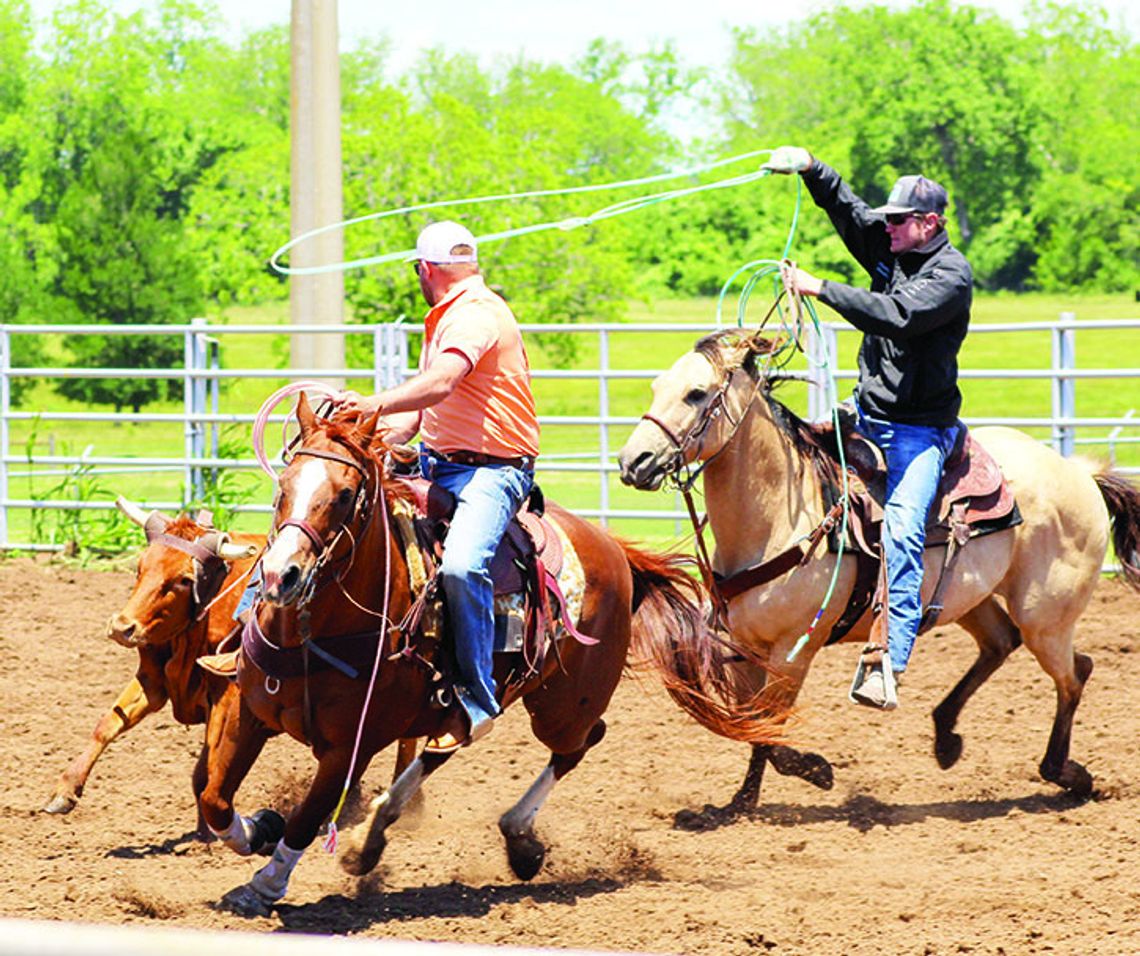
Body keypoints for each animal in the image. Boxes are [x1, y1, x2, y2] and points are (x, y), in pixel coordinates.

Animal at [43, 496, 258, 834]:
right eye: (140, 568)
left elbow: (210, 760)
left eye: (184, 580)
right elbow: (107, 725)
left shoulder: (225, 694)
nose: (121, 627)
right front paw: (64, 790)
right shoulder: (152, 679)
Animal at [204, 391, 702, 916]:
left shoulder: (349, 749)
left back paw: (519, 838)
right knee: (446, 746)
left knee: (579, 743)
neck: (311, 635)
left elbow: (305, 819)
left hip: (562, 706)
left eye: (344, 495)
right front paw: (260, 828)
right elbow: (215, 799)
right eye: (284, 485)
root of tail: (614, 548)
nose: (281, 575)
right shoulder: (247, 710)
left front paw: (264, 886)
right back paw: (372, 837)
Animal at [620, 328, 1140, 815]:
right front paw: (739, 804)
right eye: (657, 387)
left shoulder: (792, 651)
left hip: (1045, 616)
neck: (781, 516)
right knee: (1003, 643)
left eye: (697, 393)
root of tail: (1078, 472)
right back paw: (946, 737)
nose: (632, 462)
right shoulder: (745, 648)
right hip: (967, 599)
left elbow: (770, 725)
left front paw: (817, 770)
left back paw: (1067, 773)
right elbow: (751, 724)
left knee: (1073, 673)